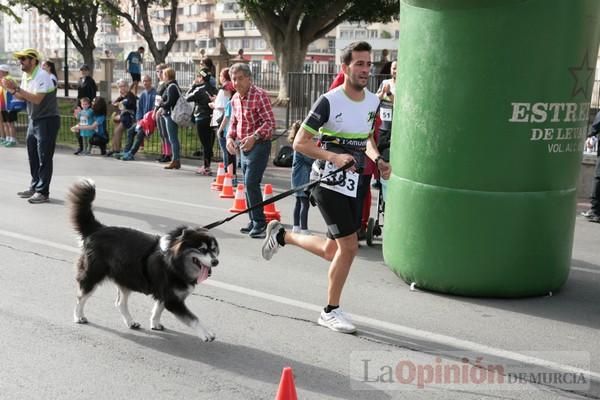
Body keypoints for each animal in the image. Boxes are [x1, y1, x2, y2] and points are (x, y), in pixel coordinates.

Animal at [68, 180, 220, 342]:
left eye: (214, 249)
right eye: (202, 249)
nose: (216, 262)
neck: (173, 262)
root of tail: (97, 229)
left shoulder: (164, 294)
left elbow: (158, 309)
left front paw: (154, 324)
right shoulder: (173, 300)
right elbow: (193, 318)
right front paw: (206, 333)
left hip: (126, 277)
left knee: (120, 303)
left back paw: (130, 322)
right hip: (93, 275)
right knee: (81, 297)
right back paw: (78, 316)